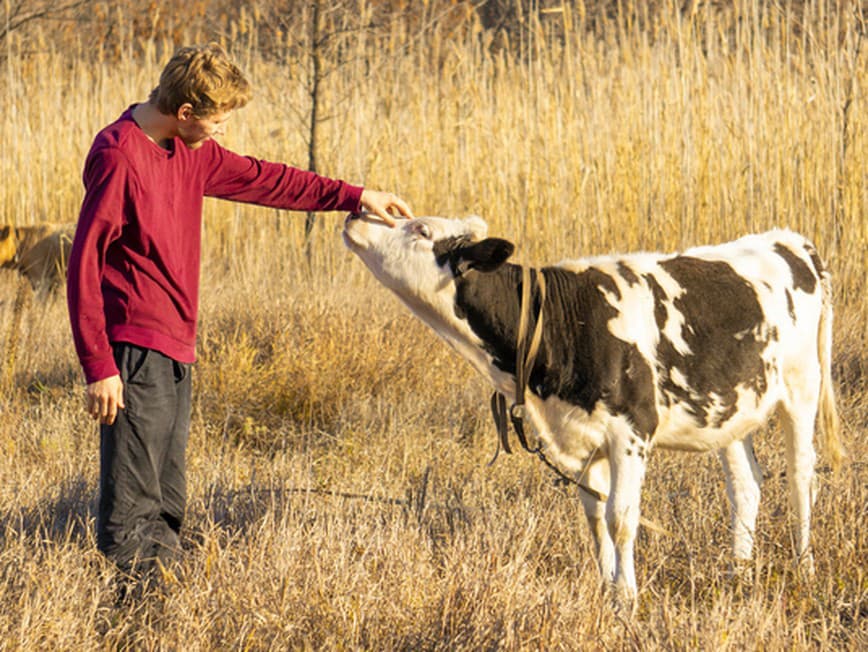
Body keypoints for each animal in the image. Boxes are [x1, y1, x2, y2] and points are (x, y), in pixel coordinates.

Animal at [342, 214, 844, 608]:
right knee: (746, 485)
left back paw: (805, 568)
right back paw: (737, 572)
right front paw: (608, 591)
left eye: (421, 229)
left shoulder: (631, 432)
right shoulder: (582, 439)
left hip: (802, 387)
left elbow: (622, 518)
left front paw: (629, 598)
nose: (355, 216)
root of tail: (790, 241)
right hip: (732, 409)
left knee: (802, 476)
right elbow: (595, 518)